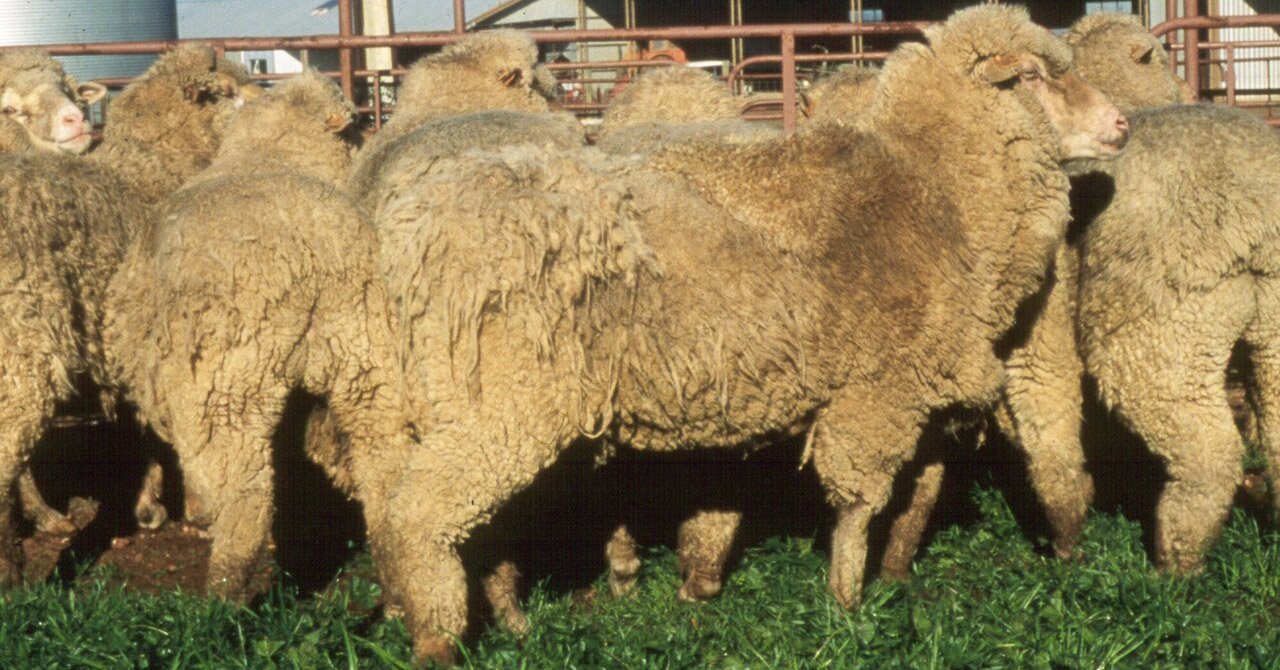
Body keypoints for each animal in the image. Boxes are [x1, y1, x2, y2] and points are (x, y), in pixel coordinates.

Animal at [0, 45, 252, 582]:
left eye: (71, 90)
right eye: (229, 92)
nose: (76, 120)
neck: (152, 169)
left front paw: (147, 504)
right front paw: (193, 509)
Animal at [104, 70, 421, 600]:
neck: (271, 153)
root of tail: (316, 256)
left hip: (228, 390)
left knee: (244, 498)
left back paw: (224, 596)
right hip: (367, 362)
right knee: (385, 471)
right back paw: (399, 589)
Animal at [361, 6, 1128, 663]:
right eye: (1035, 76)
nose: (1121, 126)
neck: (933, 190)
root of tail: (420, 225)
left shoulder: (912, 389)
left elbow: (914, 495)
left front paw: (890, 576)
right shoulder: (872, 393)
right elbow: (859, 505)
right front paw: (847, 606)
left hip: (469, 399)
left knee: (473, 524)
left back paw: (510, 620)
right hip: (505, 401)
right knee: (419, 515)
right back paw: (437, 638)